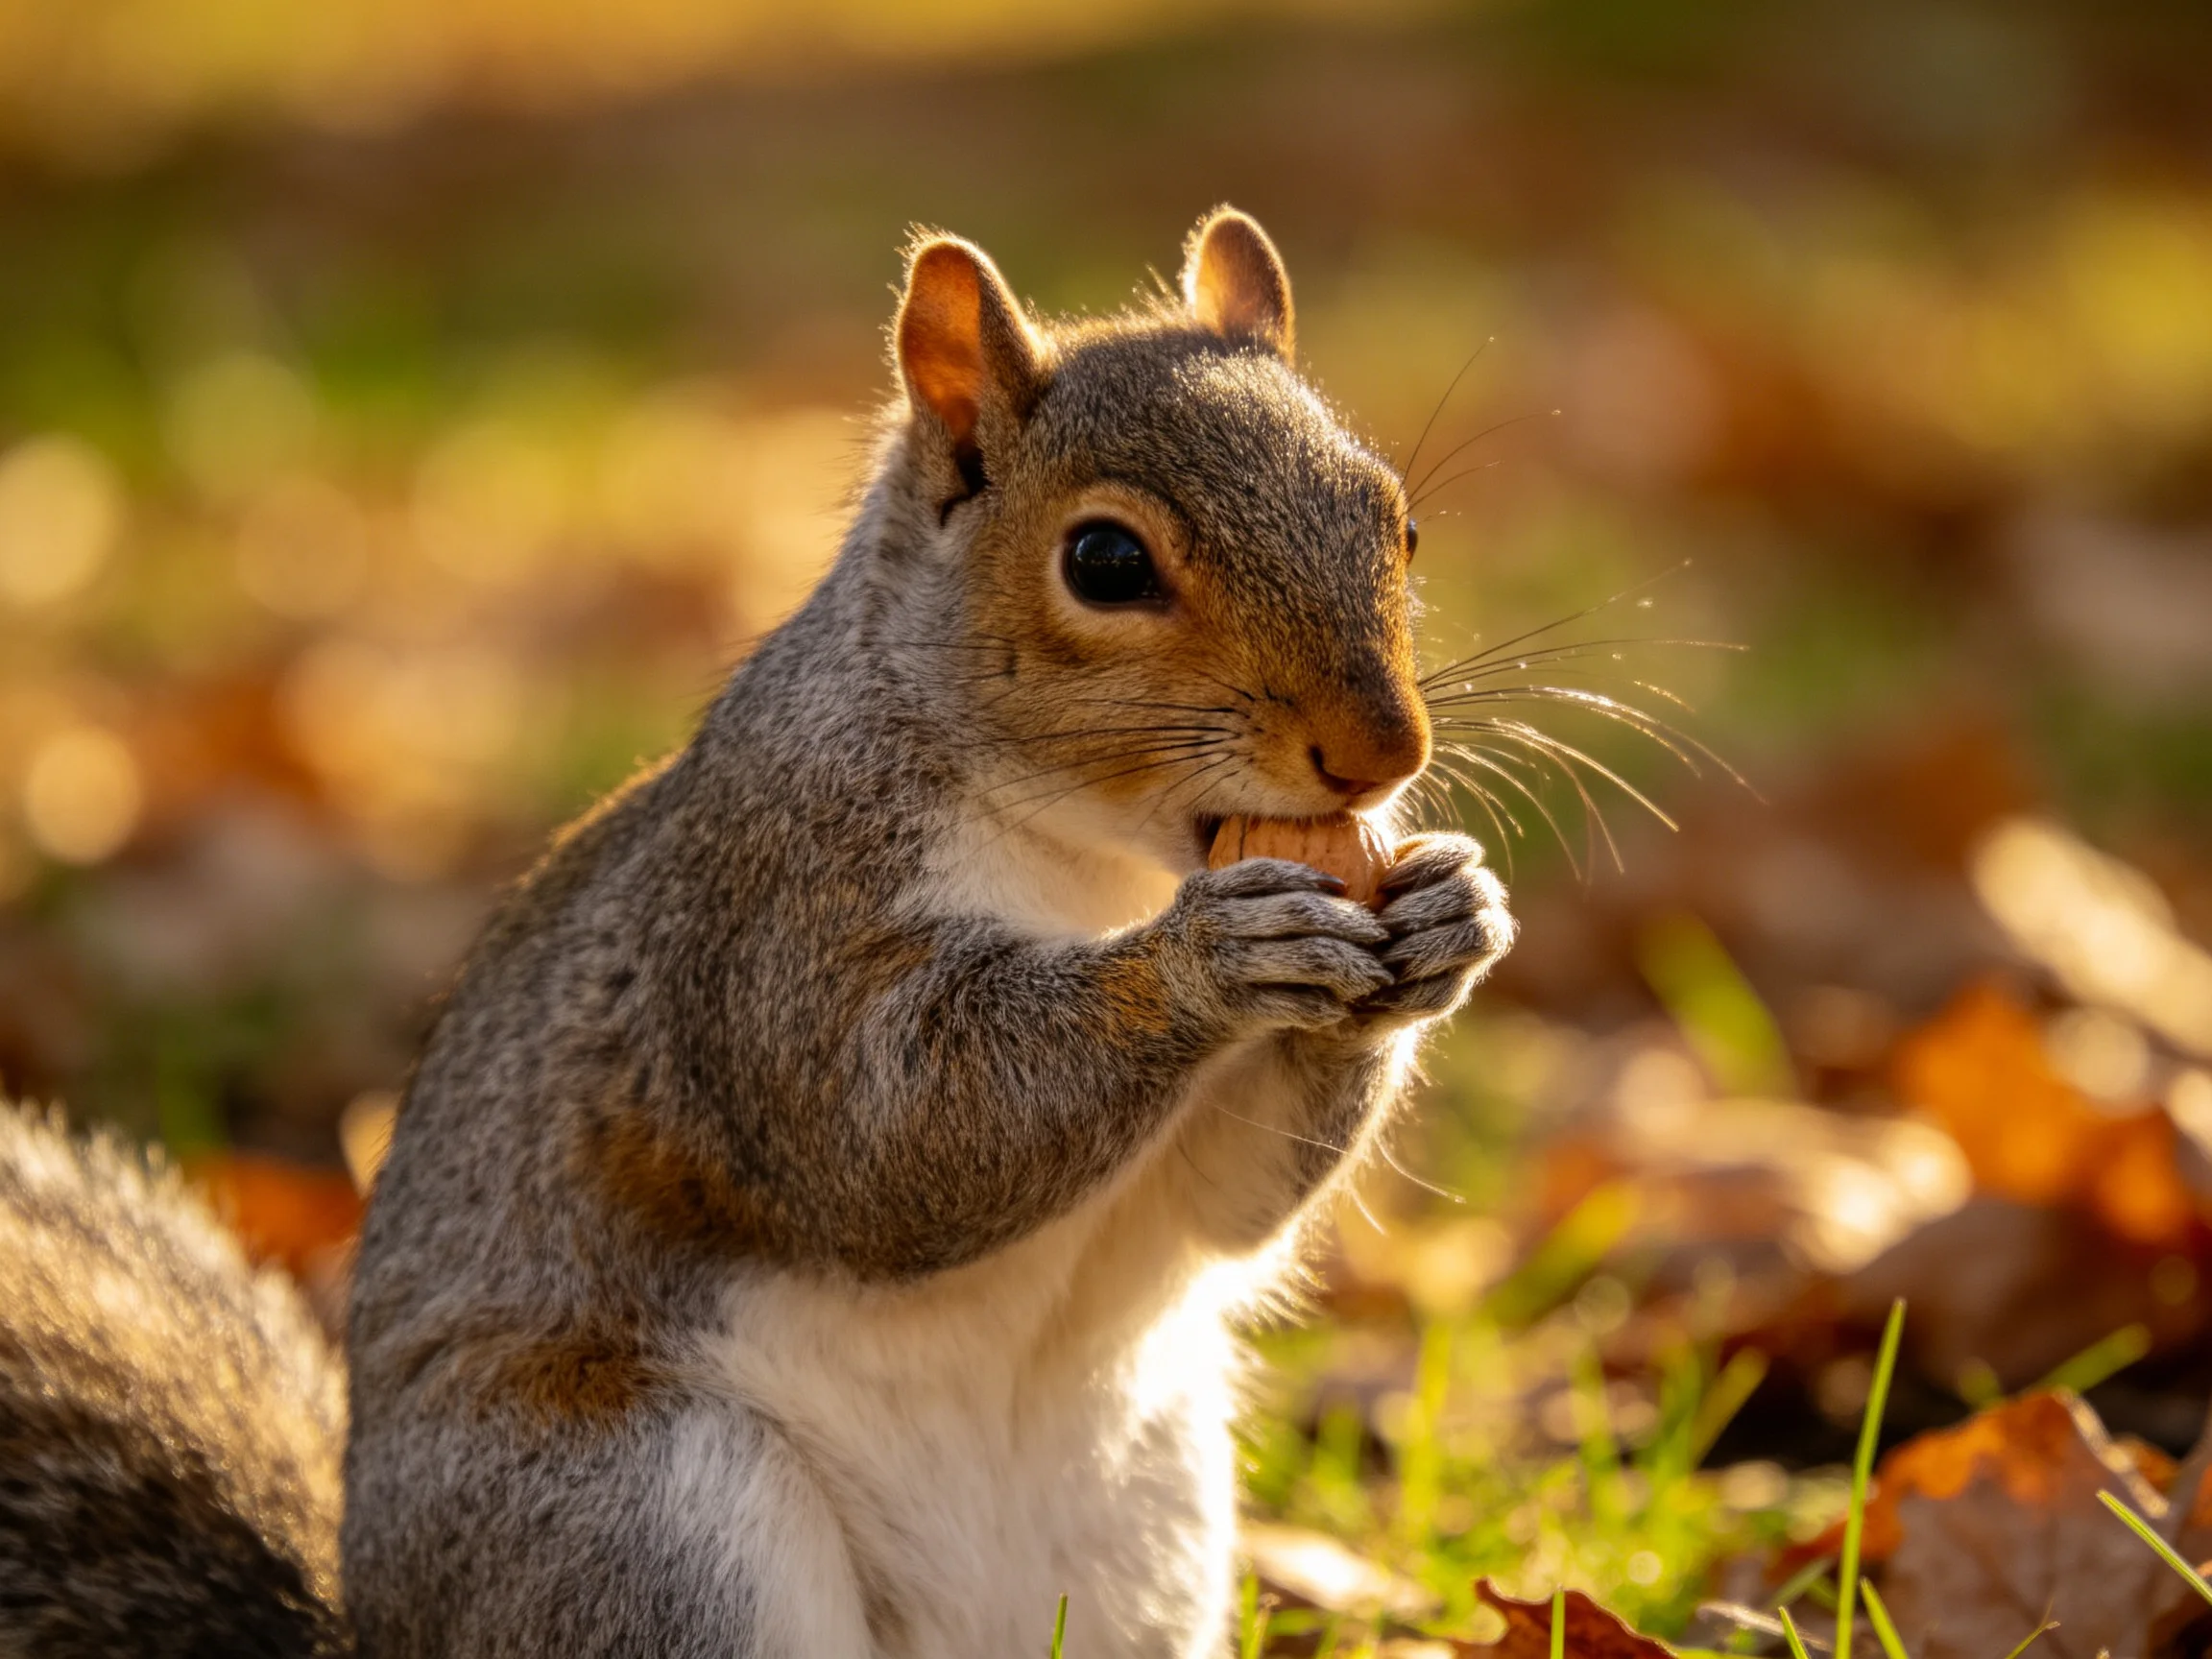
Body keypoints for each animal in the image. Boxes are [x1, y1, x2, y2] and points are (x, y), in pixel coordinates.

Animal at [0, 208, 1512, 1658]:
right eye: (1105, 560)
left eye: (1396, 523)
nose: (1385, 752)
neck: (1097, 867)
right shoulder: (765, 920)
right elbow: (886, 1134)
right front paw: (1209, 964)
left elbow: (1224, 1199)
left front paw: (1452, 917)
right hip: (642, 1520)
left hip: (1148, 1535)